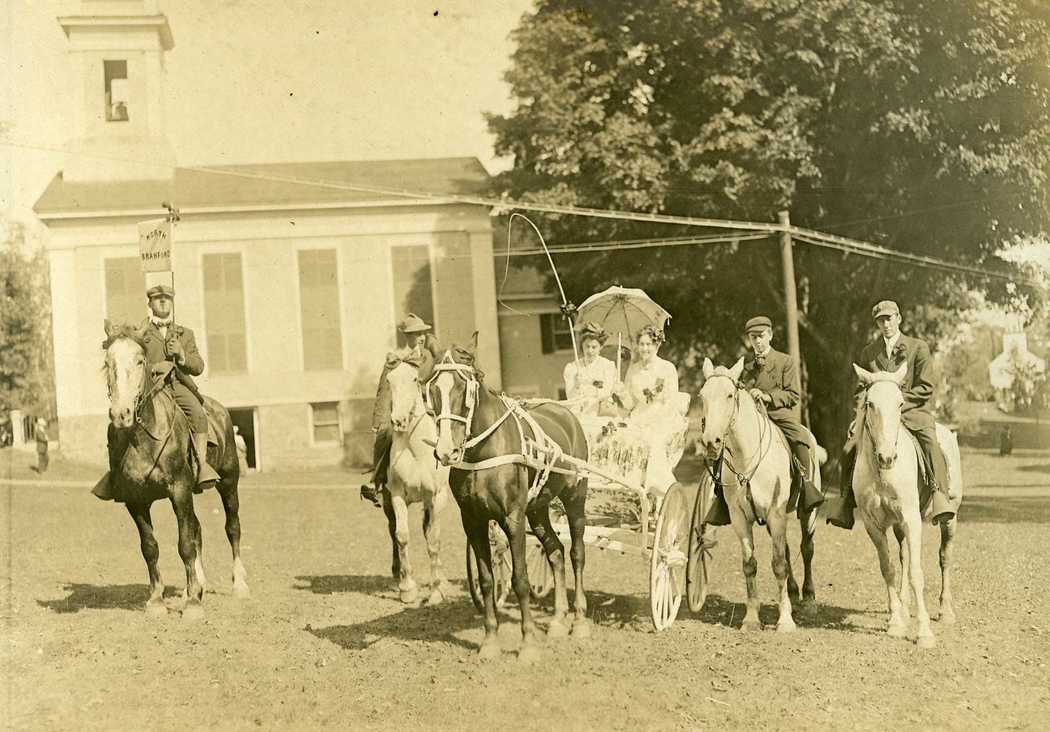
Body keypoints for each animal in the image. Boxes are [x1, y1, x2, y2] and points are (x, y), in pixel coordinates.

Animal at [99, 323, 247, 613]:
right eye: (107, 363)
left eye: (140, 360)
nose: (121, 414)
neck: (142, 438)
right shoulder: (135, 501)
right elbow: (150, 547)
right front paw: (158, 600)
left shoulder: (179, 491)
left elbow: (185, 545)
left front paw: (192, 606)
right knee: (197, 528)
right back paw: (198, 586)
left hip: (228, 482)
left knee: (232, 527)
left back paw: (238, 585)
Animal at [384, 350, 453, 600]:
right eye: (389, 381)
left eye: (414, 379)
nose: (399, 420)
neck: (415, 448)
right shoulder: (396, 495)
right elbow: (402, 536)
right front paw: (407, 588)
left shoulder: (435, 497)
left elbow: (433, 540)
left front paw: (436, 590)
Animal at [426, 336, 592, 663]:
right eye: (433, 387)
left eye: (464, 388)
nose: (446, 451)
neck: (485, 451)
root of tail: (567, 414)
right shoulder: (473, 522)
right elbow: (487, 580)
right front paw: (490, 642)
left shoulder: (513, 519)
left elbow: (520, 579)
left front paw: (527, 644)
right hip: (538, 509)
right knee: (555, 552)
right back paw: (557, 620)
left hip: (574, 498)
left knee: (576, 554)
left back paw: (579, 622)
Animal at [701, 357, 823, 630]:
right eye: (702, 395)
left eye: (729, 395)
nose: (711, 442)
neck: (747, 457)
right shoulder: (740, 518)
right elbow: (750, 565)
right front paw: (751, 618)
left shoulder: (777, 514)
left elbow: (778, 564)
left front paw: (785, 620)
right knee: (787, 549)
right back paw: (793, 591)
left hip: (806, 514)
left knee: (807, 548)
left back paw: (808, 597)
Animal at [852, 363, 961, 646]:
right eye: (869, 403)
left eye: (901, 404)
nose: (887, 457)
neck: (882, 473)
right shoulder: (873, 525)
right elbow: (888, 569)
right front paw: (895, 622)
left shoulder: (912, 520)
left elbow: (916, 572)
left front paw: (924, 633)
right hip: (898, 525)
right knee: (902, 556)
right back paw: (904, 606)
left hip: (950, 519)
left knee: (944, 558)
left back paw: (945, 611)